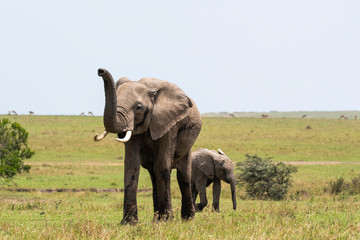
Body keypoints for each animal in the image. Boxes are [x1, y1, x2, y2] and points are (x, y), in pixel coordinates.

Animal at [94, 68, 201, 224]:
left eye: (138, 107)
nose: (100, 71)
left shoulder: (169, 124)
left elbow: (162, 166)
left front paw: (166, 221)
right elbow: (131, 166)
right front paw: (128, 223)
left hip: (188, 143)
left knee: (183, 176)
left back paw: (187, 219)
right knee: (154, 175)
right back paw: (156, 218)